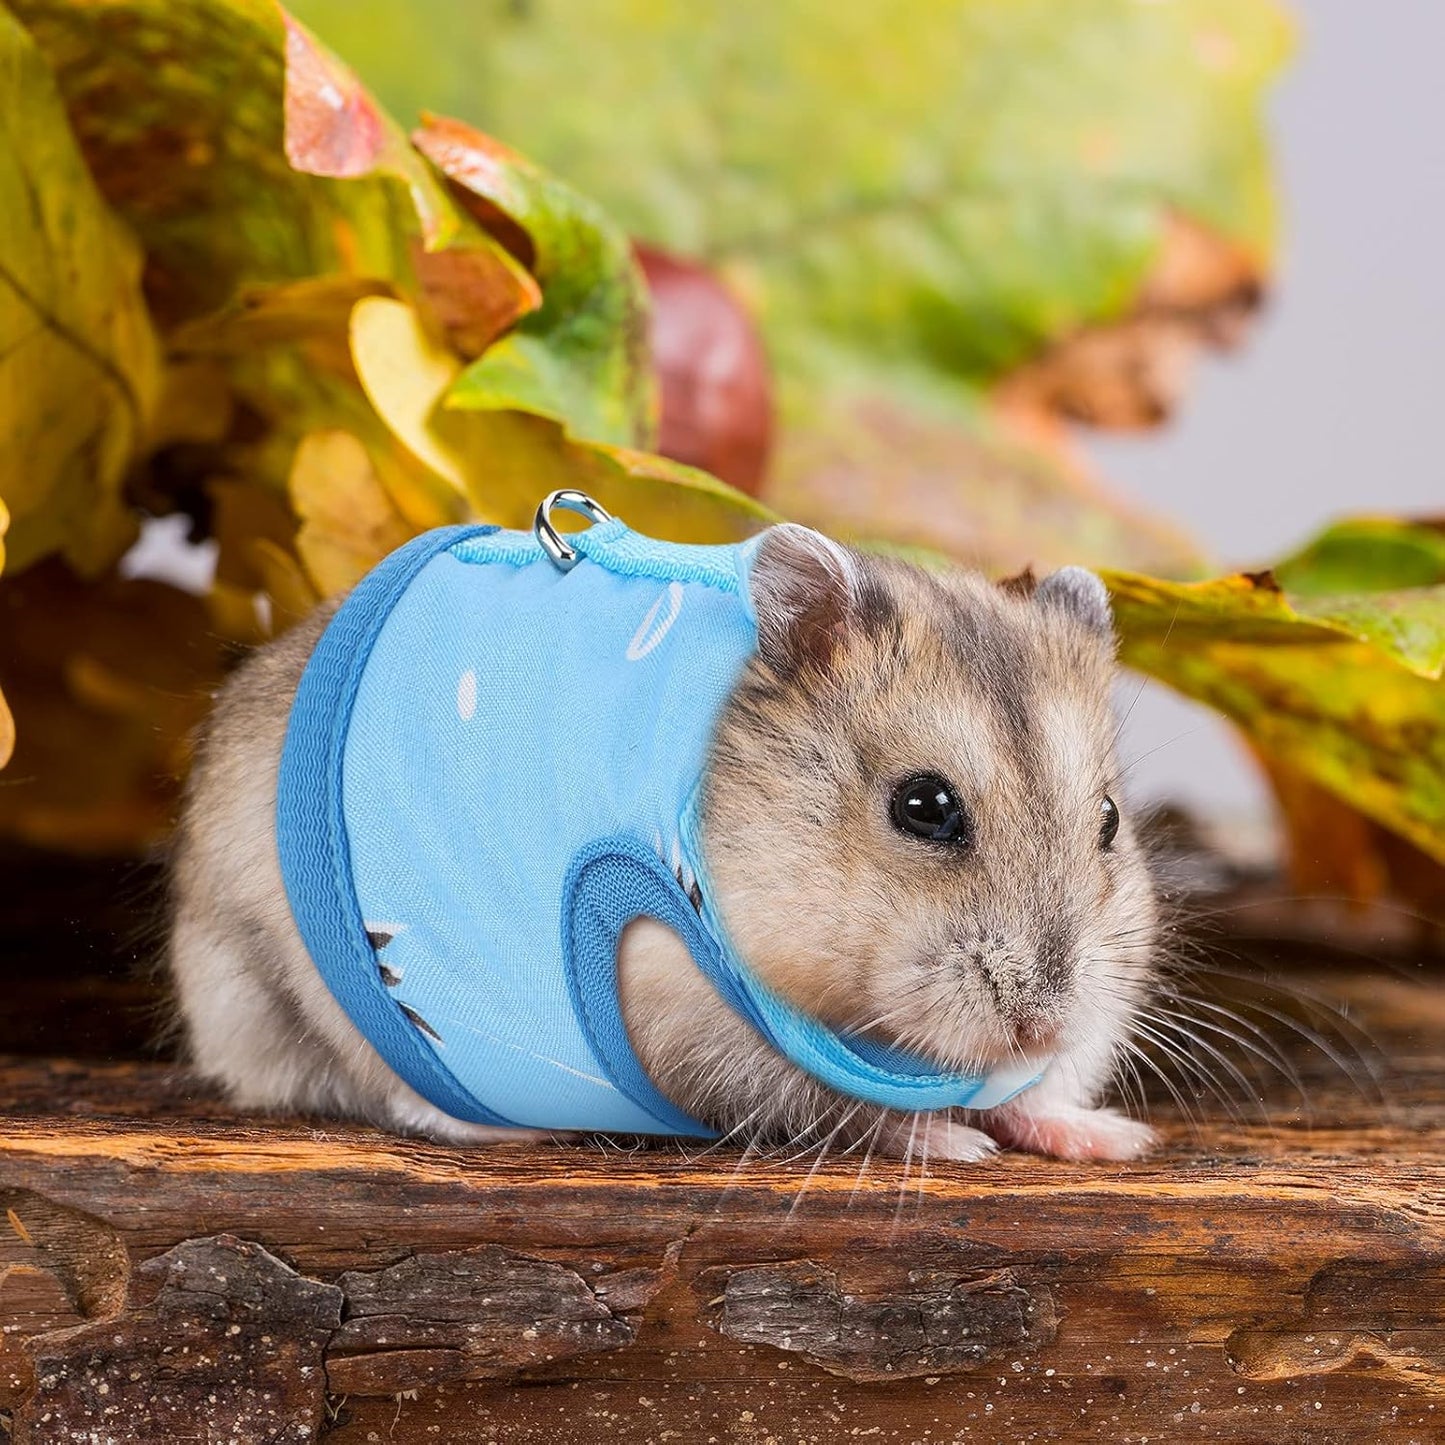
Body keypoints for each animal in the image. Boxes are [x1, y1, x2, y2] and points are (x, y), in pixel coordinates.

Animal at [168, 524, 1158, 1163]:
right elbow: (833, 1107)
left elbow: (1033, 1094)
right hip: (298, 979)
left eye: (1109, 820)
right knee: (393, 1090)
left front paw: (1116, 1139)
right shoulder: (691, 1030)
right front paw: (952, 1141)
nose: (1043, 1025)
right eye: (923, 805)